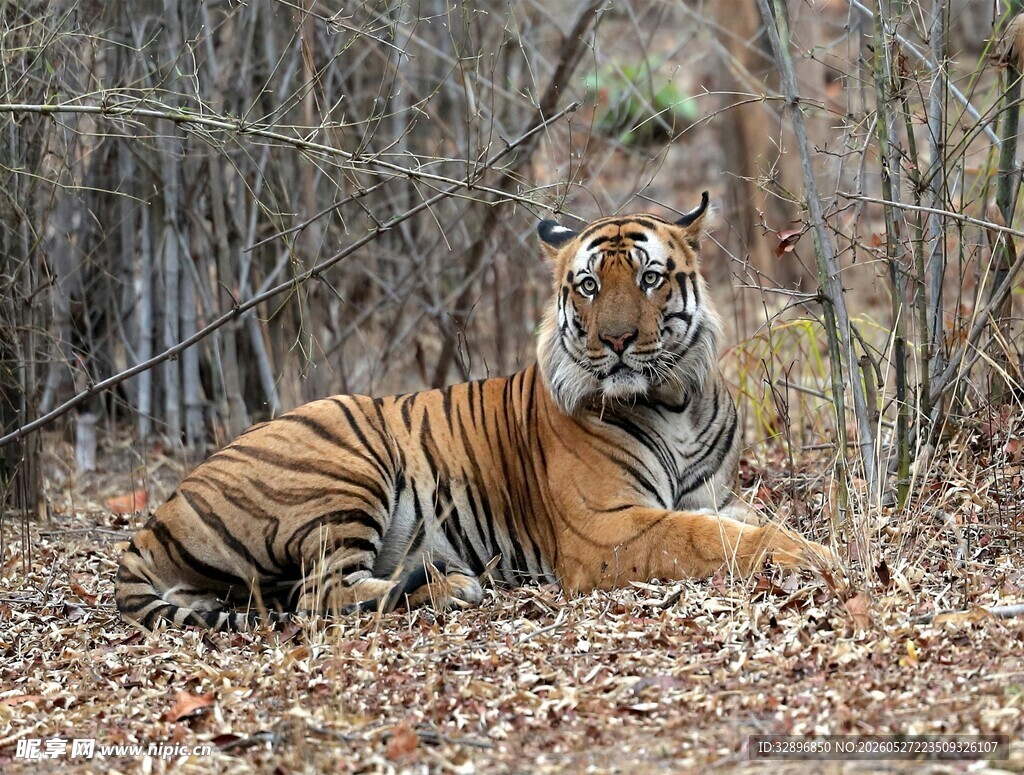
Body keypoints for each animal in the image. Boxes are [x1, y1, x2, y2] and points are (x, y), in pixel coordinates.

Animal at [115, 193, 833, 631]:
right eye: (589, 284)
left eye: (650, 278)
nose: (618, 340)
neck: (673, 398)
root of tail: (153, 523)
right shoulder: (609, 527)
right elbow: (705, 538)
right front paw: (811, 557)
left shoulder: (713, 496)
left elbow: (746, 521)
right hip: (343, 460)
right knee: (318, 595)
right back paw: (450, 587)